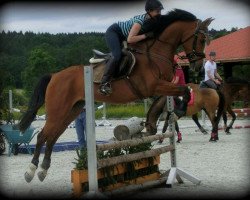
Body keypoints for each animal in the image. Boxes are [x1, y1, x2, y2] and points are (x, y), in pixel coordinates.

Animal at [18, 9, 213, 183]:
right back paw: (31, 171)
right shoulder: (153, 86)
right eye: (202, 39)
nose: (198, 67)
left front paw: (168, 116)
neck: (155, 53)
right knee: (43, 135)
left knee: (53, 136)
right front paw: (178, 111)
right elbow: (183, 90)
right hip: (58, 109)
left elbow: (180, 92)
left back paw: (43, 170)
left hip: (71, 110)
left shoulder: (163, 87)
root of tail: (55, 75)